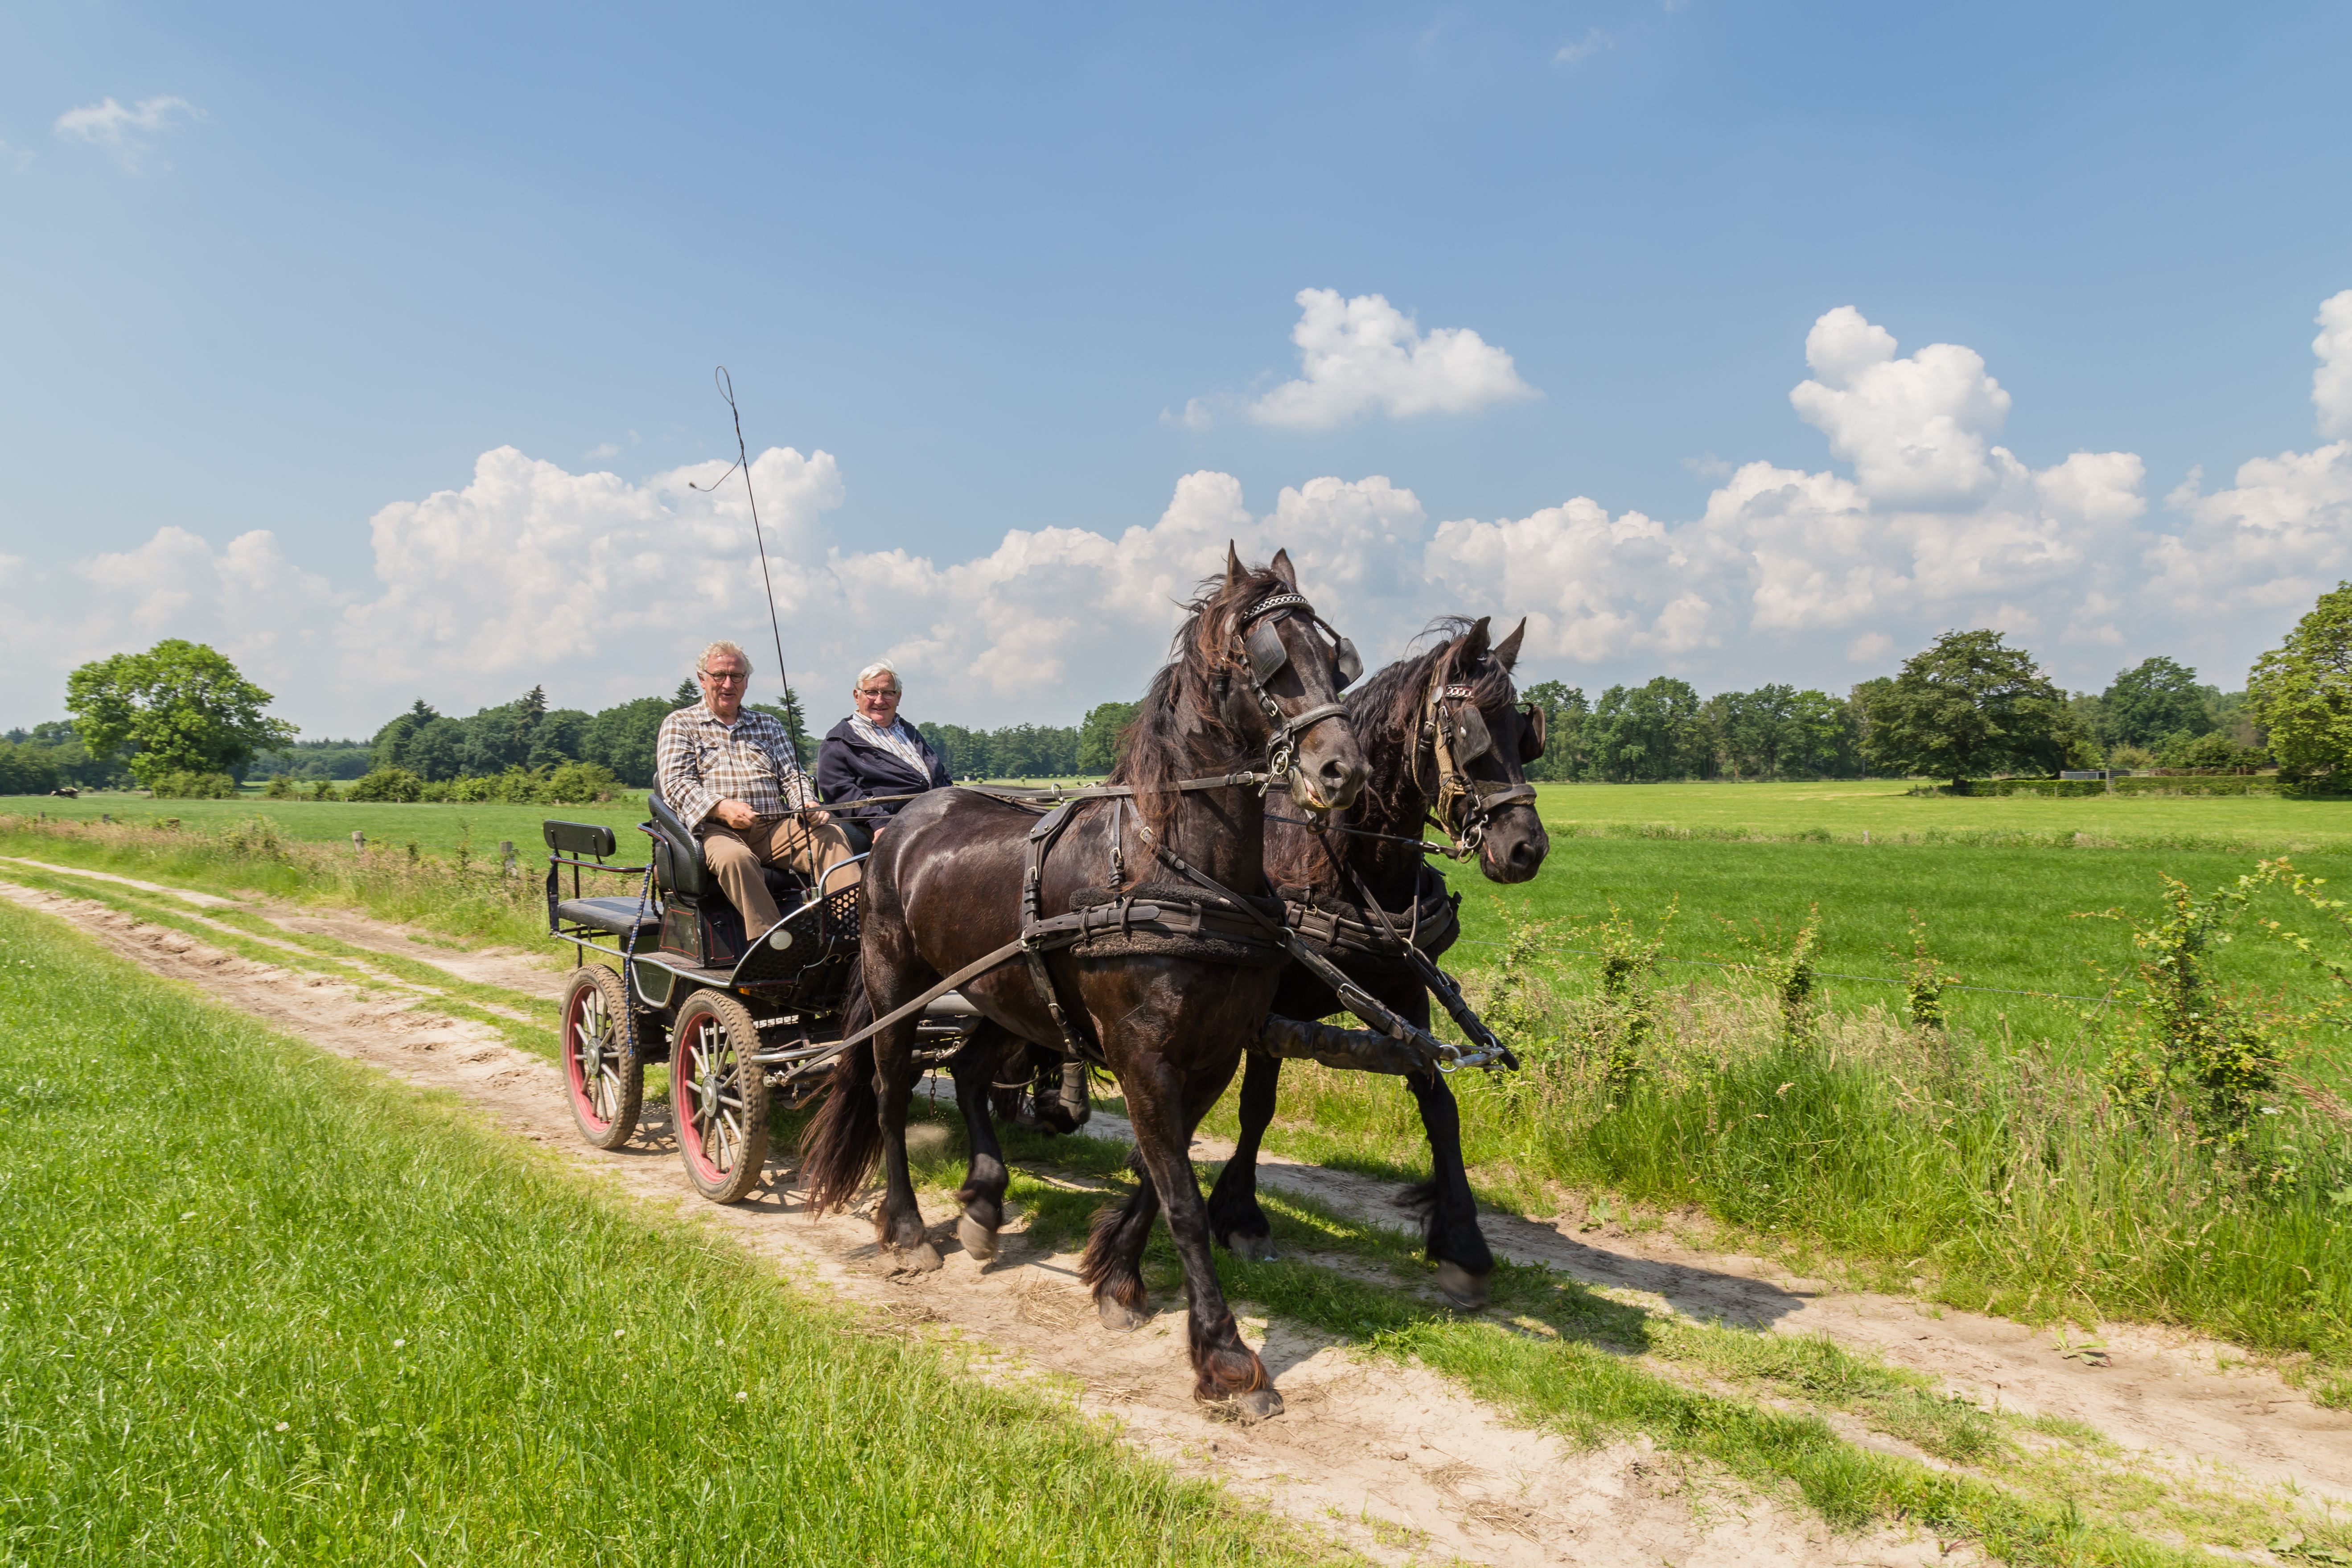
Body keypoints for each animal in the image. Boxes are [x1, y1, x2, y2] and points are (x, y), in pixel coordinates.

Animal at [800, 546, 1369, 1420]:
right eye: (1268, 659)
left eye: (1337, 660)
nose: (1342, 768)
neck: (1177, 869)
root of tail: (904, 820)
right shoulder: (1142, 1056)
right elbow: (1183, 1200)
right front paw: (1226, 1358)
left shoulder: (1211, 1054)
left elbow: (1159, 1175)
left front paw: (1118, 1280)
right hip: (896, 982)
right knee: (891, 1092)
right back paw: (907, 1228)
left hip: (1005, 994)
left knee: (970, 1072)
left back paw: (983, 1202)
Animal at [1201, 615, 1551, 1307]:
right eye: (1469, 733)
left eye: (1525, 738)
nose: (1527, 848)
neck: (1345, 862)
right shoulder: (1264, 1003)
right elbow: (1257, 1105)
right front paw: (1241, 1216)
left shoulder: (1405, 994)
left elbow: (1438, 1104)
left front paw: (1462, 1243)